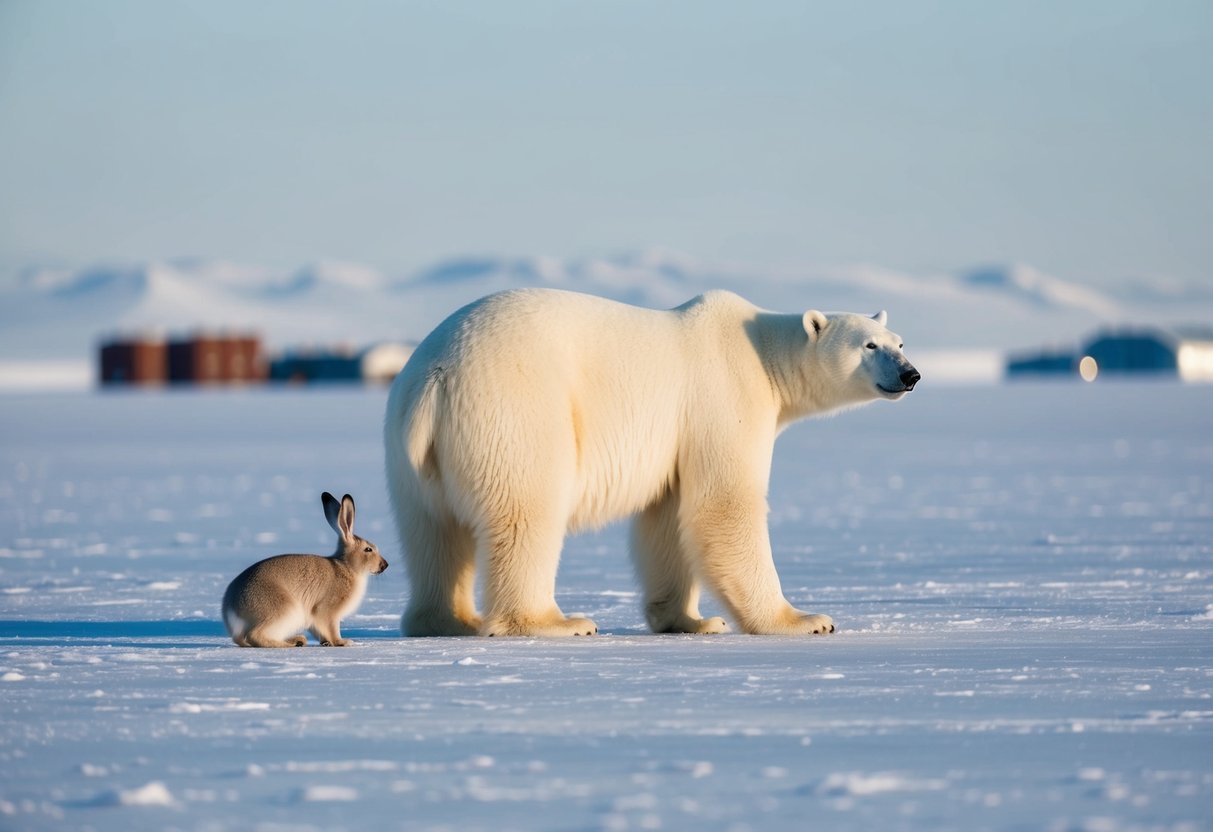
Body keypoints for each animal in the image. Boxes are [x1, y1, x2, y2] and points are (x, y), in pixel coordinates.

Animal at [222, 492, 388, 647]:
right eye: (368, 549)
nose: (385, 565)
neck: (347, 567)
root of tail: (232, 608)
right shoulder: (327, 611)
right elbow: (332, 628)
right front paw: (342, 642)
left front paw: (327, 643)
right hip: (284, 611)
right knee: (254, 636)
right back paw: (289, 644)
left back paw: (298, 640)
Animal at [385, 288, 919, 637]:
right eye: (869, 345)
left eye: (899, 341)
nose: (911, 375)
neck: (764, 355)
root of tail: (436, 377)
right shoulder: (723, 398)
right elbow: (722, 505)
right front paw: (803, 619)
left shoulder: (678, 438)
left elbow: (666, 517)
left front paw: (692, 620)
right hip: (515, 411)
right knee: (526, 511)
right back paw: (558, 622)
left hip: (411, 452)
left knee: (432, 531)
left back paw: (448, 621)